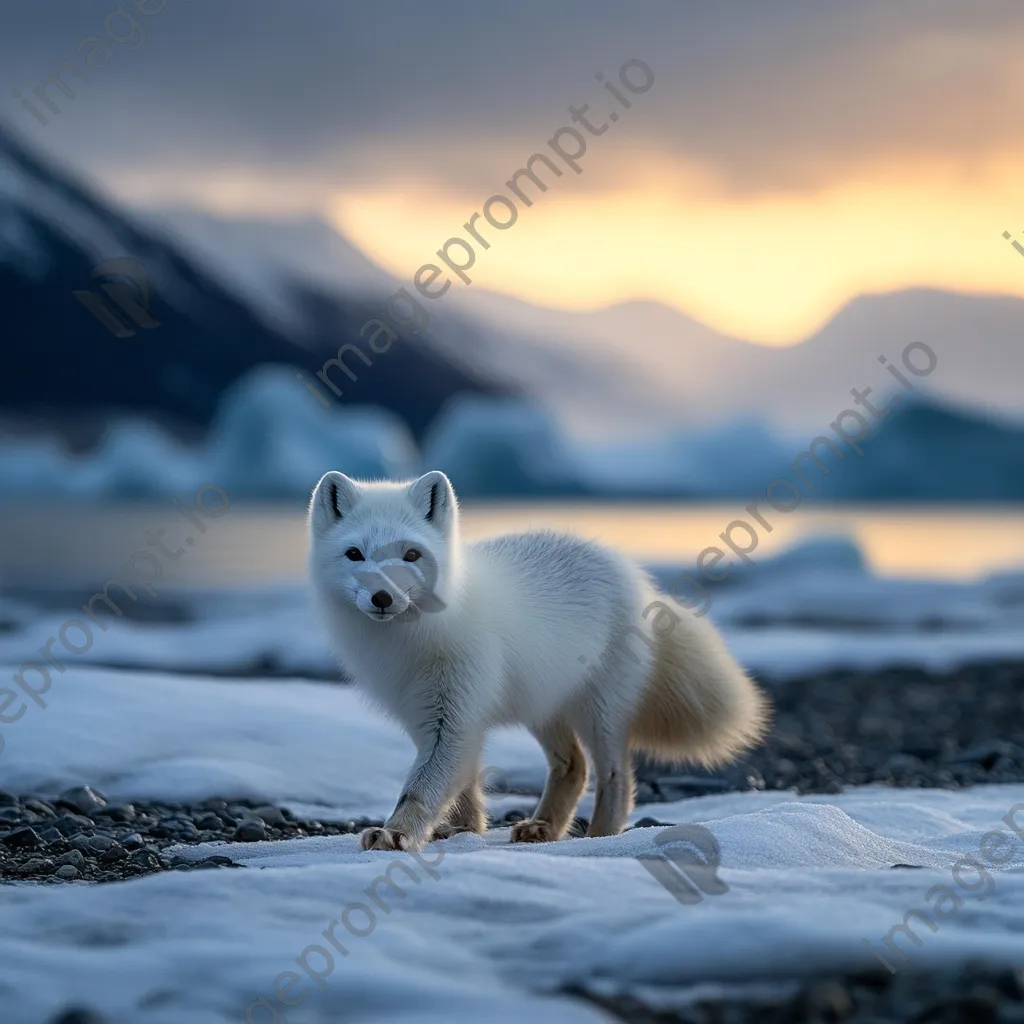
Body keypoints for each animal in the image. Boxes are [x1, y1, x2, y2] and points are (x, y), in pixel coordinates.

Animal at [305, 468, 770, 851]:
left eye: (411, 556)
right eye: (354, 554)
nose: (382, 597)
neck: (410, 641)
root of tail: (638, 578)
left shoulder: (453, 712)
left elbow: (423, 786)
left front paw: (397, 833)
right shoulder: (427, 715)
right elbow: (462, 781)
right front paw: (463, 829)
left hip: (599, 709)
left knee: (615, 774)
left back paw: (601, 836)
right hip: (544, 705)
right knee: (573, 766)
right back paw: (543, 826)